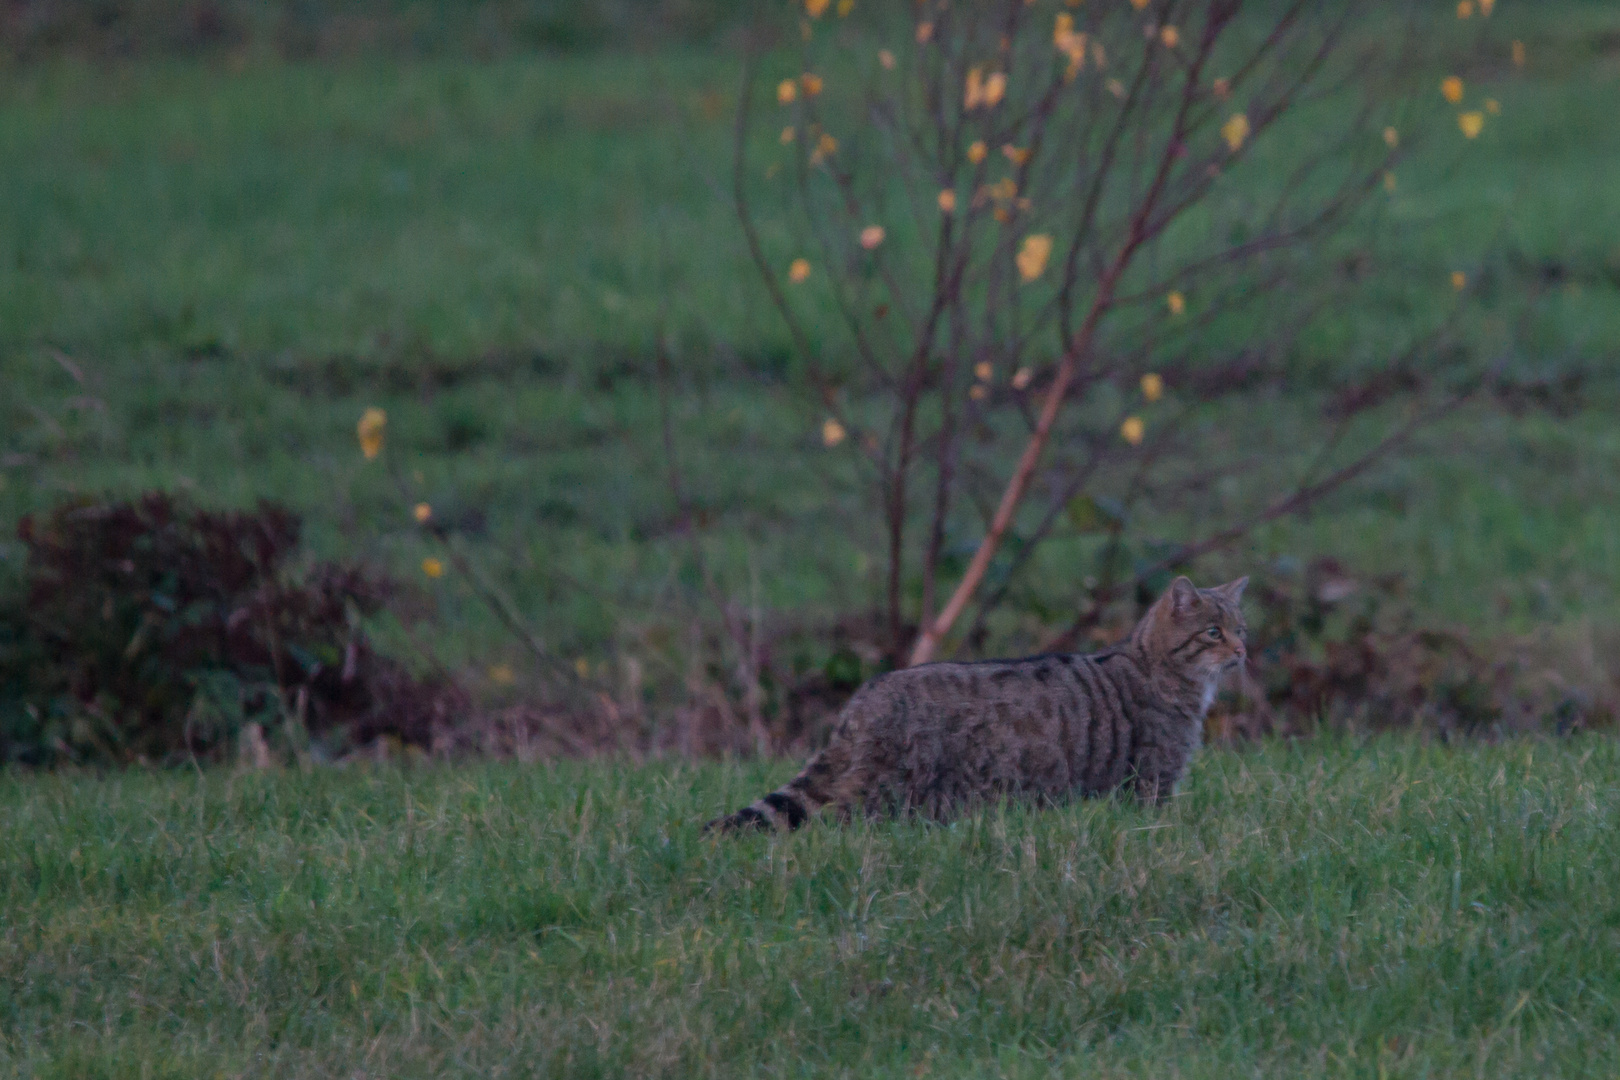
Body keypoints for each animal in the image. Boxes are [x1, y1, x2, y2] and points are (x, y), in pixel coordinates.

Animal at [703, 579, 1244, 835]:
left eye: (1241, 627)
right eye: (1213, 632)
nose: (1243, 651)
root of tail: (862, 699)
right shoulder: (1152, 781)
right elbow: (1154, 823)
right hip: (884, 792)